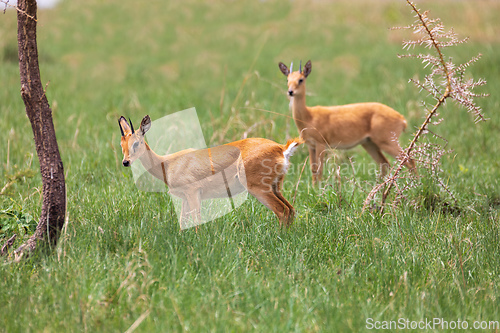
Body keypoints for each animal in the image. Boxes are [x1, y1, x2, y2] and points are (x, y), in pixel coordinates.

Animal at [119, 115, 302, 227]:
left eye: (137, 143)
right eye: (122, 144)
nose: (125, 162)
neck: (167, 163)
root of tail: (281, 148)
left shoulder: (193, 193)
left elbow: (197, 221)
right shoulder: (185, 198)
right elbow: (183, 222)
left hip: (258, 189)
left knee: (282, 211)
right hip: (275, 187)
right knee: (291, 210)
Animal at [280, 59, 416, 184]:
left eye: (301, 79)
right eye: (287, 79)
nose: (290, 92)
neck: (308, 117)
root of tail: (402, 119)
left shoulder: (321, 144)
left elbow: (320, 169)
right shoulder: (310, 145)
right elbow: (313, 169)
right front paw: (314, 188)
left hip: (387, 141)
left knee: (409, 160)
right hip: (369, 143)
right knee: (385, 163)